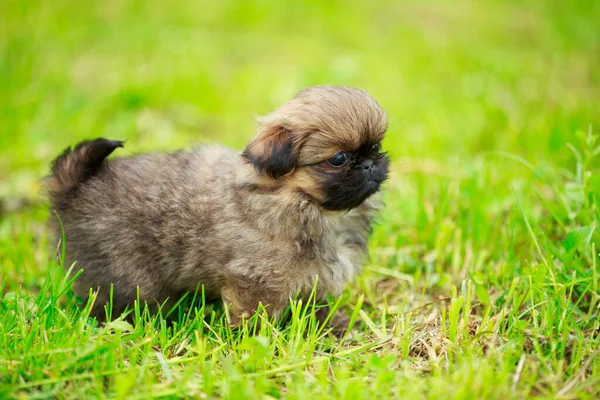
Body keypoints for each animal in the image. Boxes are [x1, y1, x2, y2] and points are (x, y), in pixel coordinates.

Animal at [49, 86, 392, 326]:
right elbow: (255, 318)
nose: (369, 163)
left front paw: (335, 325)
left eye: (376, 146)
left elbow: (315, 306)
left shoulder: (315, 278)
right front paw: (257, 343)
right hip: (127, 278)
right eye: (339, 159)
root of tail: (74, 188)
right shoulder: (255, 282)